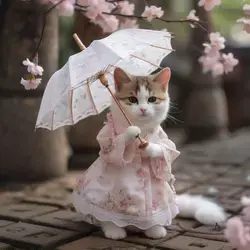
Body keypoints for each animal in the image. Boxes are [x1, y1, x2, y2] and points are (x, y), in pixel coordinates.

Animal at [71, 66, 226, 240]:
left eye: (152, 99)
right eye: (132, 99)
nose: (143, 109)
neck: (142, 127)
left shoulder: (164, 139)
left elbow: (167, 149)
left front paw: (148, 148)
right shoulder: (107, 139)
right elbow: (111, 149)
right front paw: (131, 132)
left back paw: (154, 229)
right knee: (105, 215)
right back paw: (114, 229)